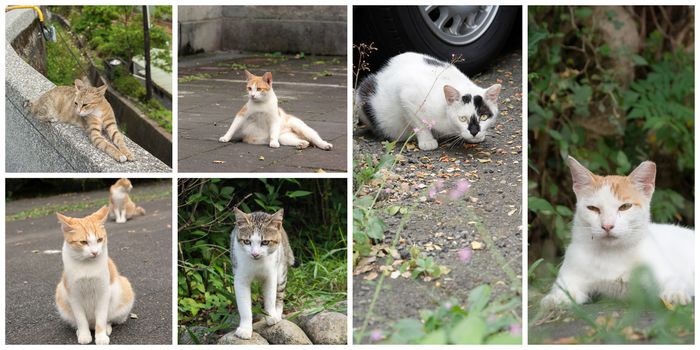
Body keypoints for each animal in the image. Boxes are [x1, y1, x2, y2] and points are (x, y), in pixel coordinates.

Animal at [55, 206, 135, 346]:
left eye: (99, 239)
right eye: (83, 242)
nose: (95, 252)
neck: (87, 266)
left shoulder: (103, 293)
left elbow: (101, 319)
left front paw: (101, 337)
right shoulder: (74, 295)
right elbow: (81, 319)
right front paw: (84, 335)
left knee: (108, 320)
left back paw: (107, 329)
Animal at [231, 208, 294, 340]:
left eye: (265, 242)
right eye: (247, 241)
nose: (255, 254)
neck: (257, 264)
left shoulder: (271, 275)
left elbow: (270, 297)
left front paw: (271, 316)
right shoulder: (240, 277)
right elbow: (244, 305)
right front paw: (245, 329)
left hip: (281, 267)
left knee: (279, 294)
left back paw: (277, 313)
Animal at [356, 52, 504, 150]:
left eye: (483, 117)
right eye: (462, 118)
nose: (474, 132)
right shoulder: (407, 95)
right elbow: (419, 123)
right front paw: (427, 141)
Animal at [540, 157, 696, 308]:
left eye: (625, 207)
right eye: (593, 208)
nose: (607, 226)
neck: (612, 254)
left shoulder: (664, 273)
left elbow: (674, 282)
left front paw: (675, 294)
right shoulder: (570, 277)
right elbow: (563, 291)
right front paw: (555, 299)